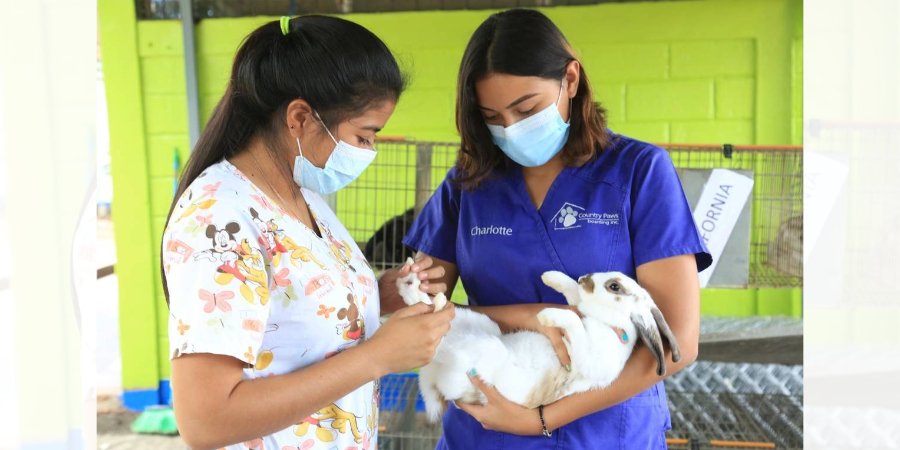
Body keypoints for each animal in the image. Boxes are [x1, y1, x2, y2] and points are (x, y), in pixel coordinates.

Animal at [396, 264, 684, 422]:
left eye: (614, 287)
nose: (585, 277)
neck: (608, 322)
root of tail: (434, 376)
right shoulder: (580, 307)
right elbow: (574, 299)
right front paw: (551, 277)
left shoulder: (588, 360)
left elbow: (574, 321)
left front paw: (547, 315)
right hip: (481, 325)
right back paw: (412, 284)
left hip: (479, 350)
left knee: (441, 337)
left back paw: (418, 294)